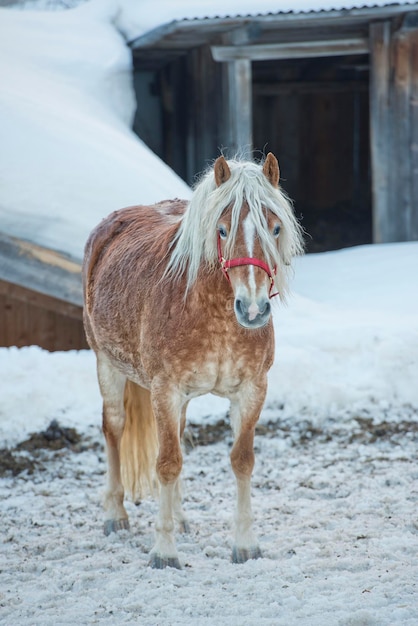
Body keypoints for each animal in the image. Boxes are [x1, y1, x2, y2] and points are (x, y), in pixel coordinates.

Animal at [82, 151, 304, 564]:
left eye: (275, 228)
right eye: (222, 230)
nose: (253, 309)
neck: (212, 314)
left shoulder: (251, 390)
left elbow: (241, 460)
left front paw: (245, 544)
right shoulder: (164, 390)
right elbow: (167, 464)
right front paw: (164, 551)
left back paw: (180, 517)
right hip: (108, 365)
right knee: (114, 429)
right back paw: (115, 515)